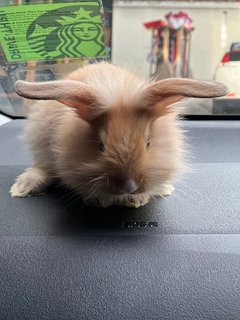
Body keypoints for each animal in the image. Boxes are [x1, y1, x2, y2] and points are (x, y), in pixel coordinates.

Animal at [9, 63, 229, 208]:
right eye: (100, 146)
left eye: (148, 143)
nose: (128, 186)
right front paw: (102, 200)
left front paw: (137, 200)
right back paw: (21, 188)